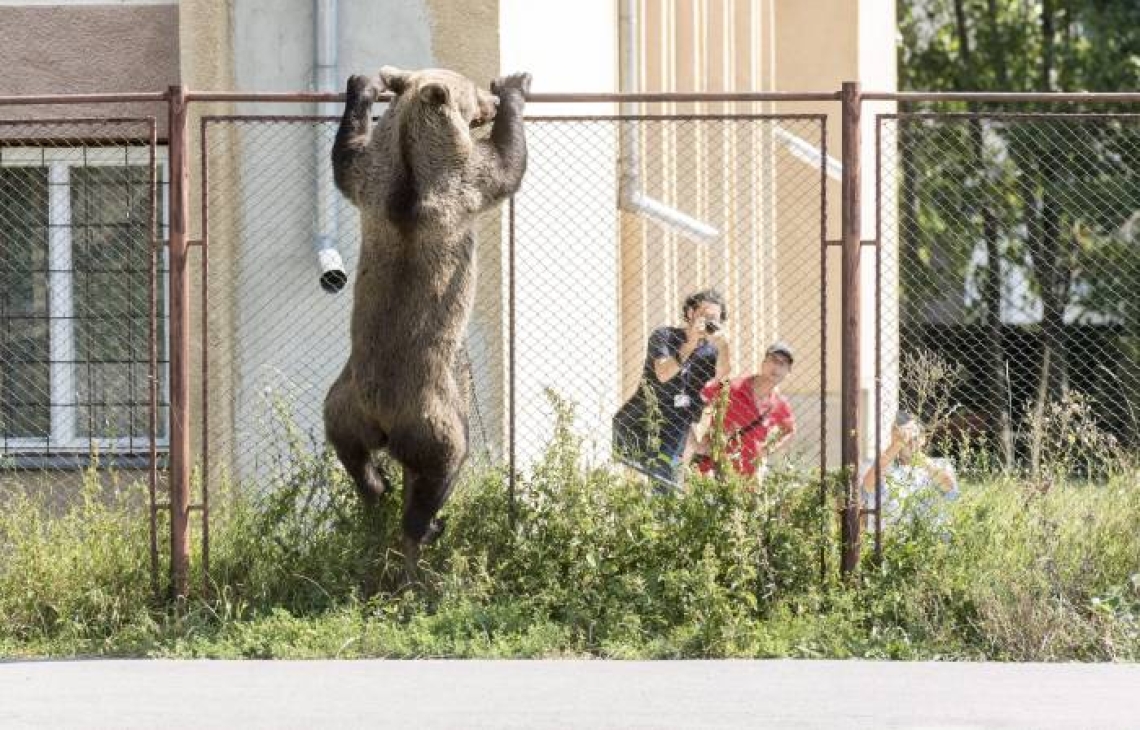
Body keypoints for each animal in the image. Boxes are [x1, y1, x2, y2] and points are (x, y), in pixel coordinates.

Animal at [326, 65, 528, 572]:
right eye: (472, 92)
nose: (489, 103)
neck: (410, 164)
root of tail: (381, 415)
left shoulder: (372, 183)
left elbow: (346, 157)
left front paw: (362, 86)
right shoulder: (462, 184)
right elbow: (505, 165)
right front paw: (515, 87)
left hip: (344, 399)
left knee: (348, 448)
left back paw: (377, 486)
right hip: (434, 411)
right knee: (445, 464)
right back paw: (426, 523)